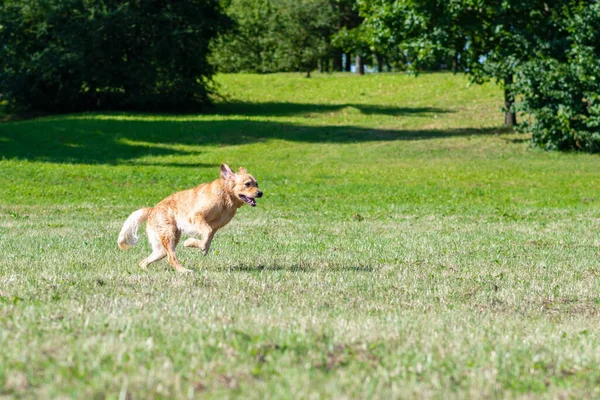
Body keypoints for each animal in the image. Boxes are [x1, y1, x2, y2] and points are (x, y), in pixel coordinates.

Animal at [117, 163, 262, 272]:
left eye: (257, 184)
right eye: (247, 184)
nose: (260, 193)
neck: (226, 196)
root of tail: (152, 210)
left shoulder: (215, 227)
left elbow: (208, 238)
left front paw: (200, 247)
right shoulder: (196, 217)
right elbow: (206, 234)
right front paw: (191, 243)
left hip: (162, 247)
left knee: (145, 261)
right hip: (169, 235)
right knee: (171, 258)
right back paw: (185, 271)